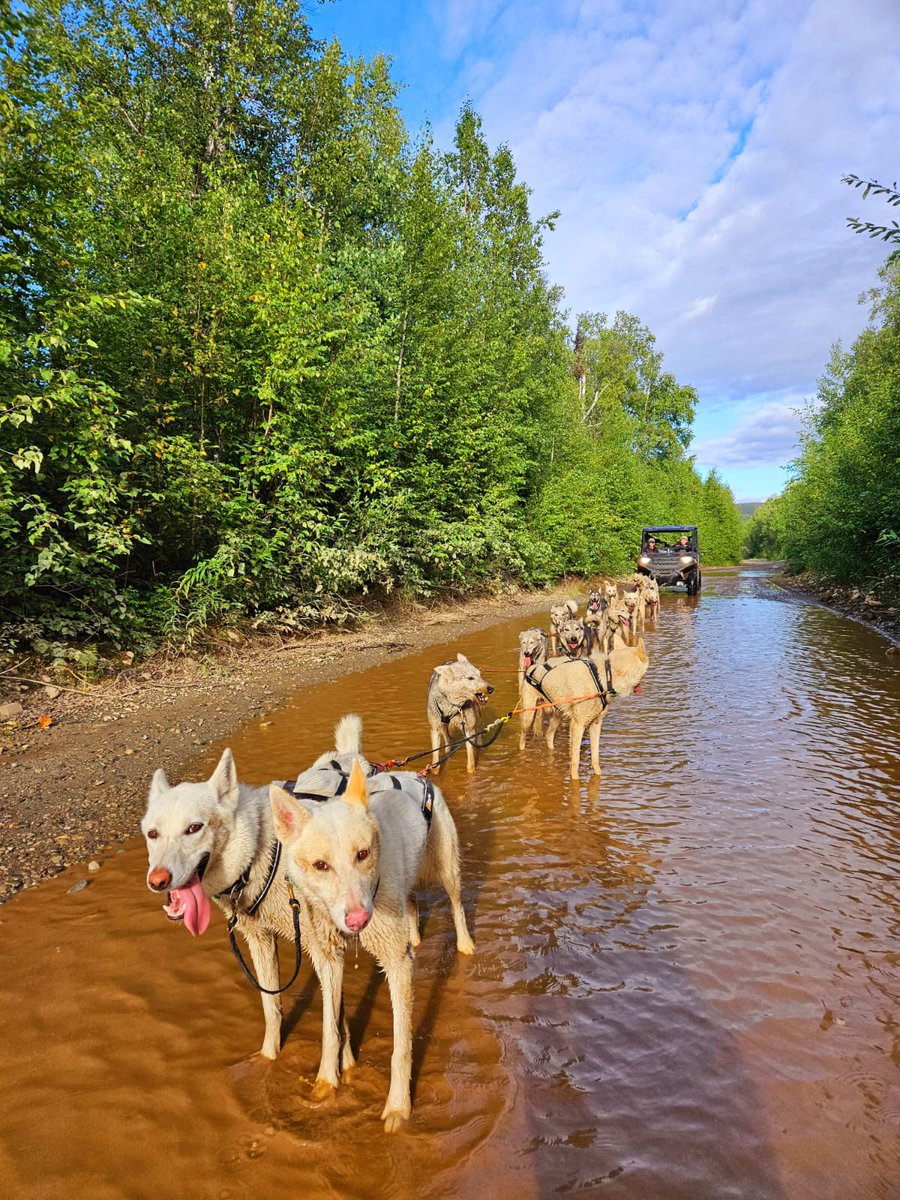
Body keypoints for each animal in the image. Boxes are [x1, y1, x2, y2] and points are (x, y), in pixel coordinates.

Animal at [142, 715, 472, 1128]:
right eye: (152, 834)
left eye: (194, 827)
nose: (157, 880)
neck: (260, 851)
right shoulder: (279, 941)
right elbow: (282, 1010)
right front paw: (275, 1061)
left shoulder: (321, 945)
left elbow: (385, 1037)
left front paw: (385, 1097)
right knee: (410, 904)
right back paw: (413, 936)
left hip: (445, 868)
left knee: (456, 904)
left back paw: (465, 946)